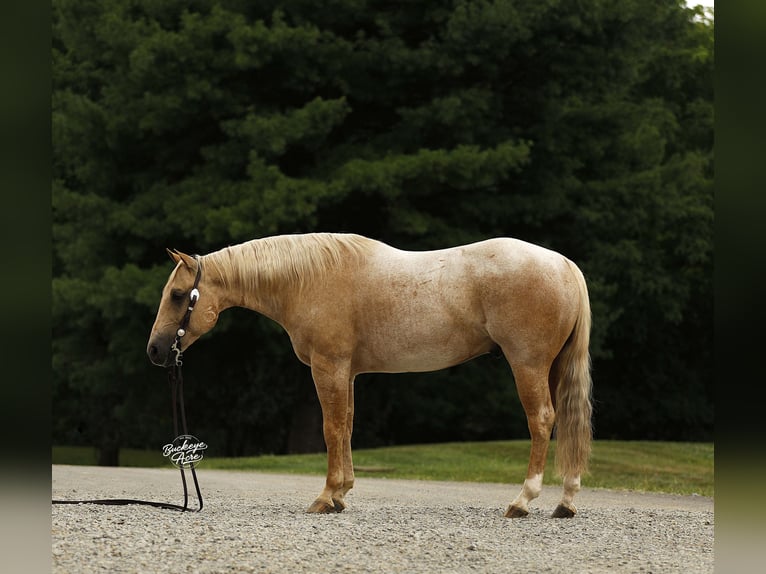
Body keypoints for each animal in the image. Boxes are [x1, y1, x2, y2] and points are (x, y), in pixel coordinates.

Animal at [147, 232, 593, 518]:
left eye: (177, 296)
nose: (154, 350)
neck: (307, 280)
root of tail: (564, 264)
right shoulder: (346, 372)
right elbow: (345, 426)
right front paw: (342, 494)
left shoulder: (328, 367)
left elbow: (330, 429)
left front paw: (326, 497)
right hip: (552, 367)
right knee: (567, 423)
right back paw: (565, 502)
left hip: (528, 364)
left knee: (542, 421)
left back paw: (522, 501)